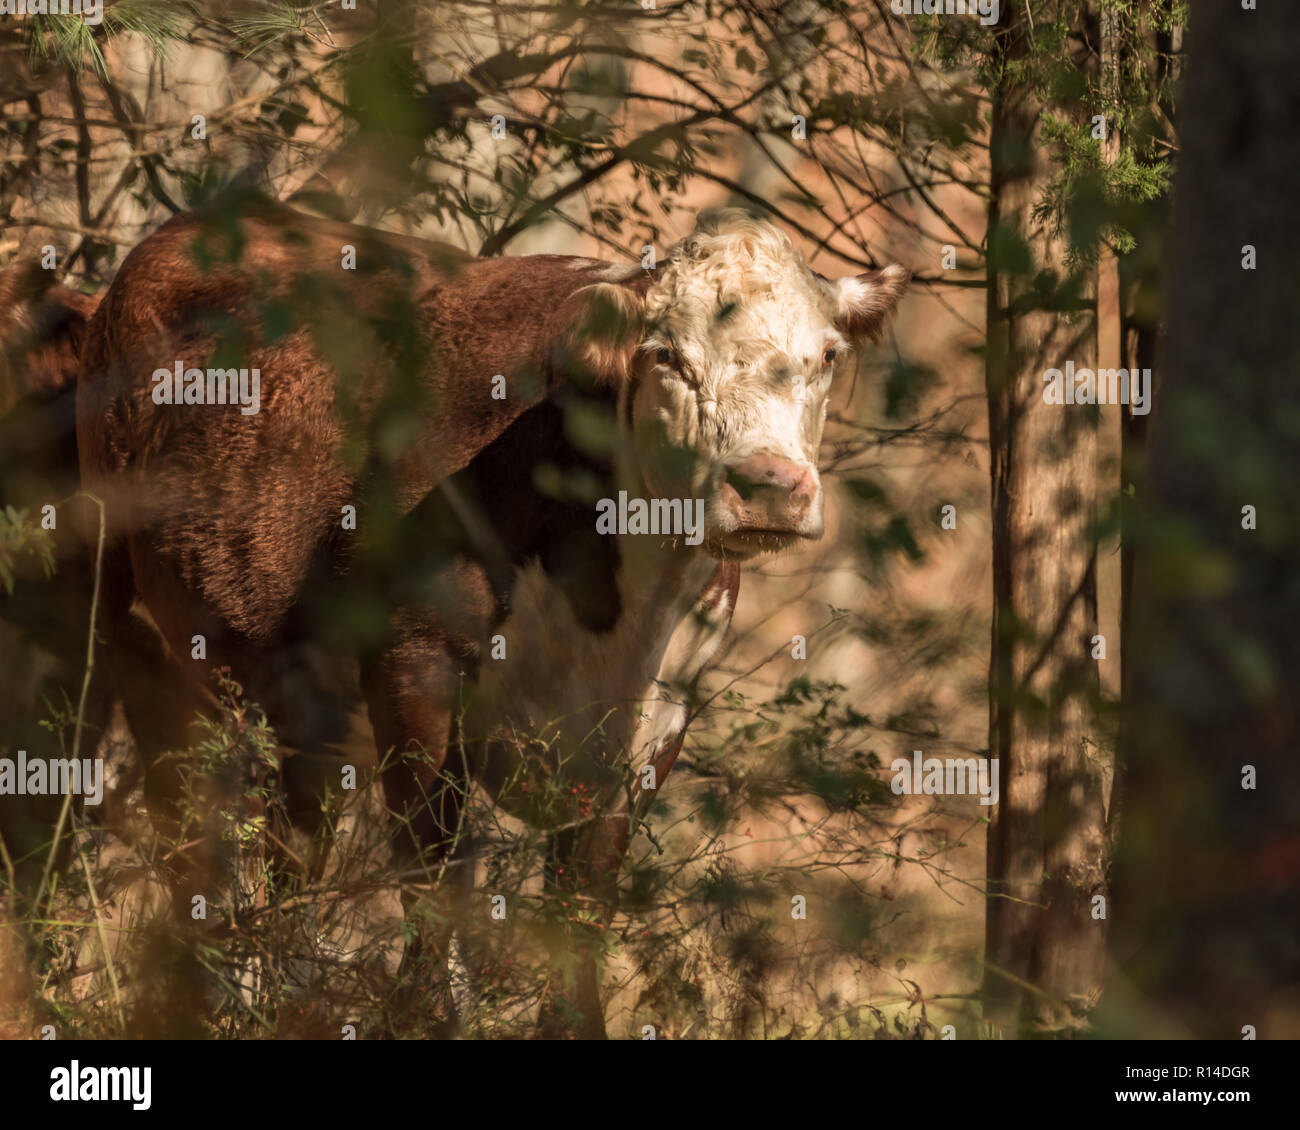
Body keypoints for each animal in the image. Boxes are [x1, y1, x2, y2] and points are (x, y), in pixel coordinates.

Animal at [71, 202, 904, 1029]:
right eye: (667, 355)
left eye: (827, 355)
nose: (769, 485)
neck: (616, 619)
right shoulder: (417, 666)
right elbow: (436, 890)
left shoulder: (658, 719)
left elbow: (579, 915)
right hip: (133, 629)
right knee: (188, 842)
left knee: (287, 850)